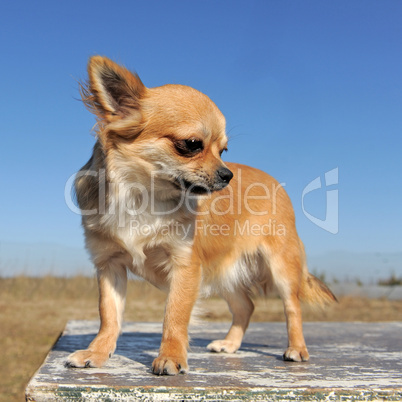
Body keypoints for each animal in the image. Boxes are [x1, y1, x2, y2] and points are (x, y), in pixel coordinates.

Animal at [66, 55, 336, 376]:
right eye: (192, 144)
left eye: (224, 150)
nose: (227, 175)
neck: (142, 197)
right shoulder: (110, 265)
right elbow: (109, 316)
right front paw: (97, 352)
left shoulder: (185, 266)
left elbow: (174, 315)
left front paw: (171, 356)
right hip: (225, 271)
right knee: (246, 306)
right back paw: (230, 344)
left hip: (280, 266)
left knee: (292, 307)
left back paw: (296, 348)